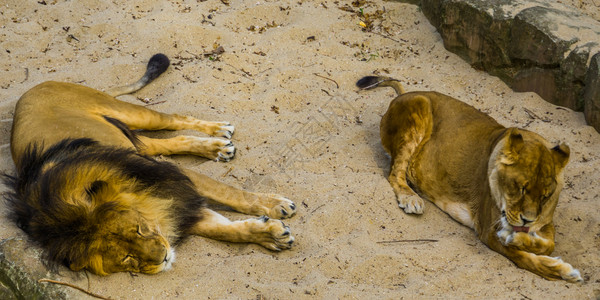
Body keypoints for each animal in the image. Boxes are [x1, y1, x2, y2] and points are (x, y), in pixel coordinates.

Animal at [2, 54, 296, 276]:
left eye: (139, 229)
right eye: (127, 258)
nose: (164, 257)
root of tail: (31, 90)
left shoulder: (173, 180)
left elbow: (231, 194)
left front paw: (276, 206)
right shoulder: (173, 208)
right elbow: (226, 231)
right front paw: (270, 235)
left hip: (132, 115)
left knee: (174, 119)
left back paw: (219, 130)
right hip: (132, 143)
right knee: (167, 142)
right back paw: (216, 147)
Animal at [356, 76, 580, 282]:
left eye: (546, 196)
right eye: (520, 188)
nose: (527, 220)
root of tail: (405, 94)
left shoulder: (544, 223)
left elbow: (549, 245)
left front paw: (518, 238)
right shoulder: (488, 230)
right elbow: (523, 257)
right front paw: (563, 271)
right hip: (419, 105)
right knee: (395, 173)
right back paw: (410, 198)